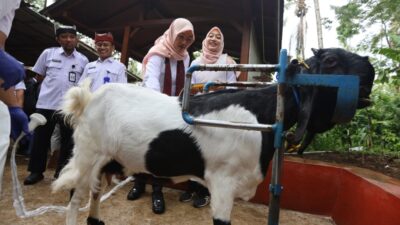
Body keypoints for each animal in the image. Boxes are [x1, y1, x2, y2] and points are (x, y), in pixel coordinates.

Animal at [53, 48, 376, 225]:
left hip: (106, 160)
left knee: (95, 193)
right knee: (75, 200)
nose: (371, 67)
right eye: (331, 60)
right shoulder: (222, 183)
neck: (261, 112)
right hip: (86, 156)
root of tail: (89, 97)